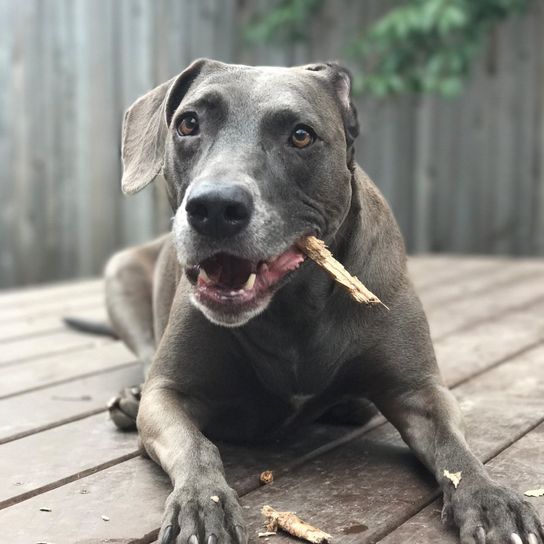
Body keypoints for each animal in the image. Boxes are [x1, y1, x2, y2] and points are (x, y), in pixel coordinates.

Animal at [103, 59, 544, 544]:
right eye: (188, 124)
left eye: (301, 135)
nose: (214, 207)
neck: (293, 304)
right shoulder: (168, 396)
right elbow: (195, 445)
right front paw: (203, 502)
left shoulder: (420, 391)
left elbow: (456, 449)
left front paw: (490, 498)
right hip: (120, 274)